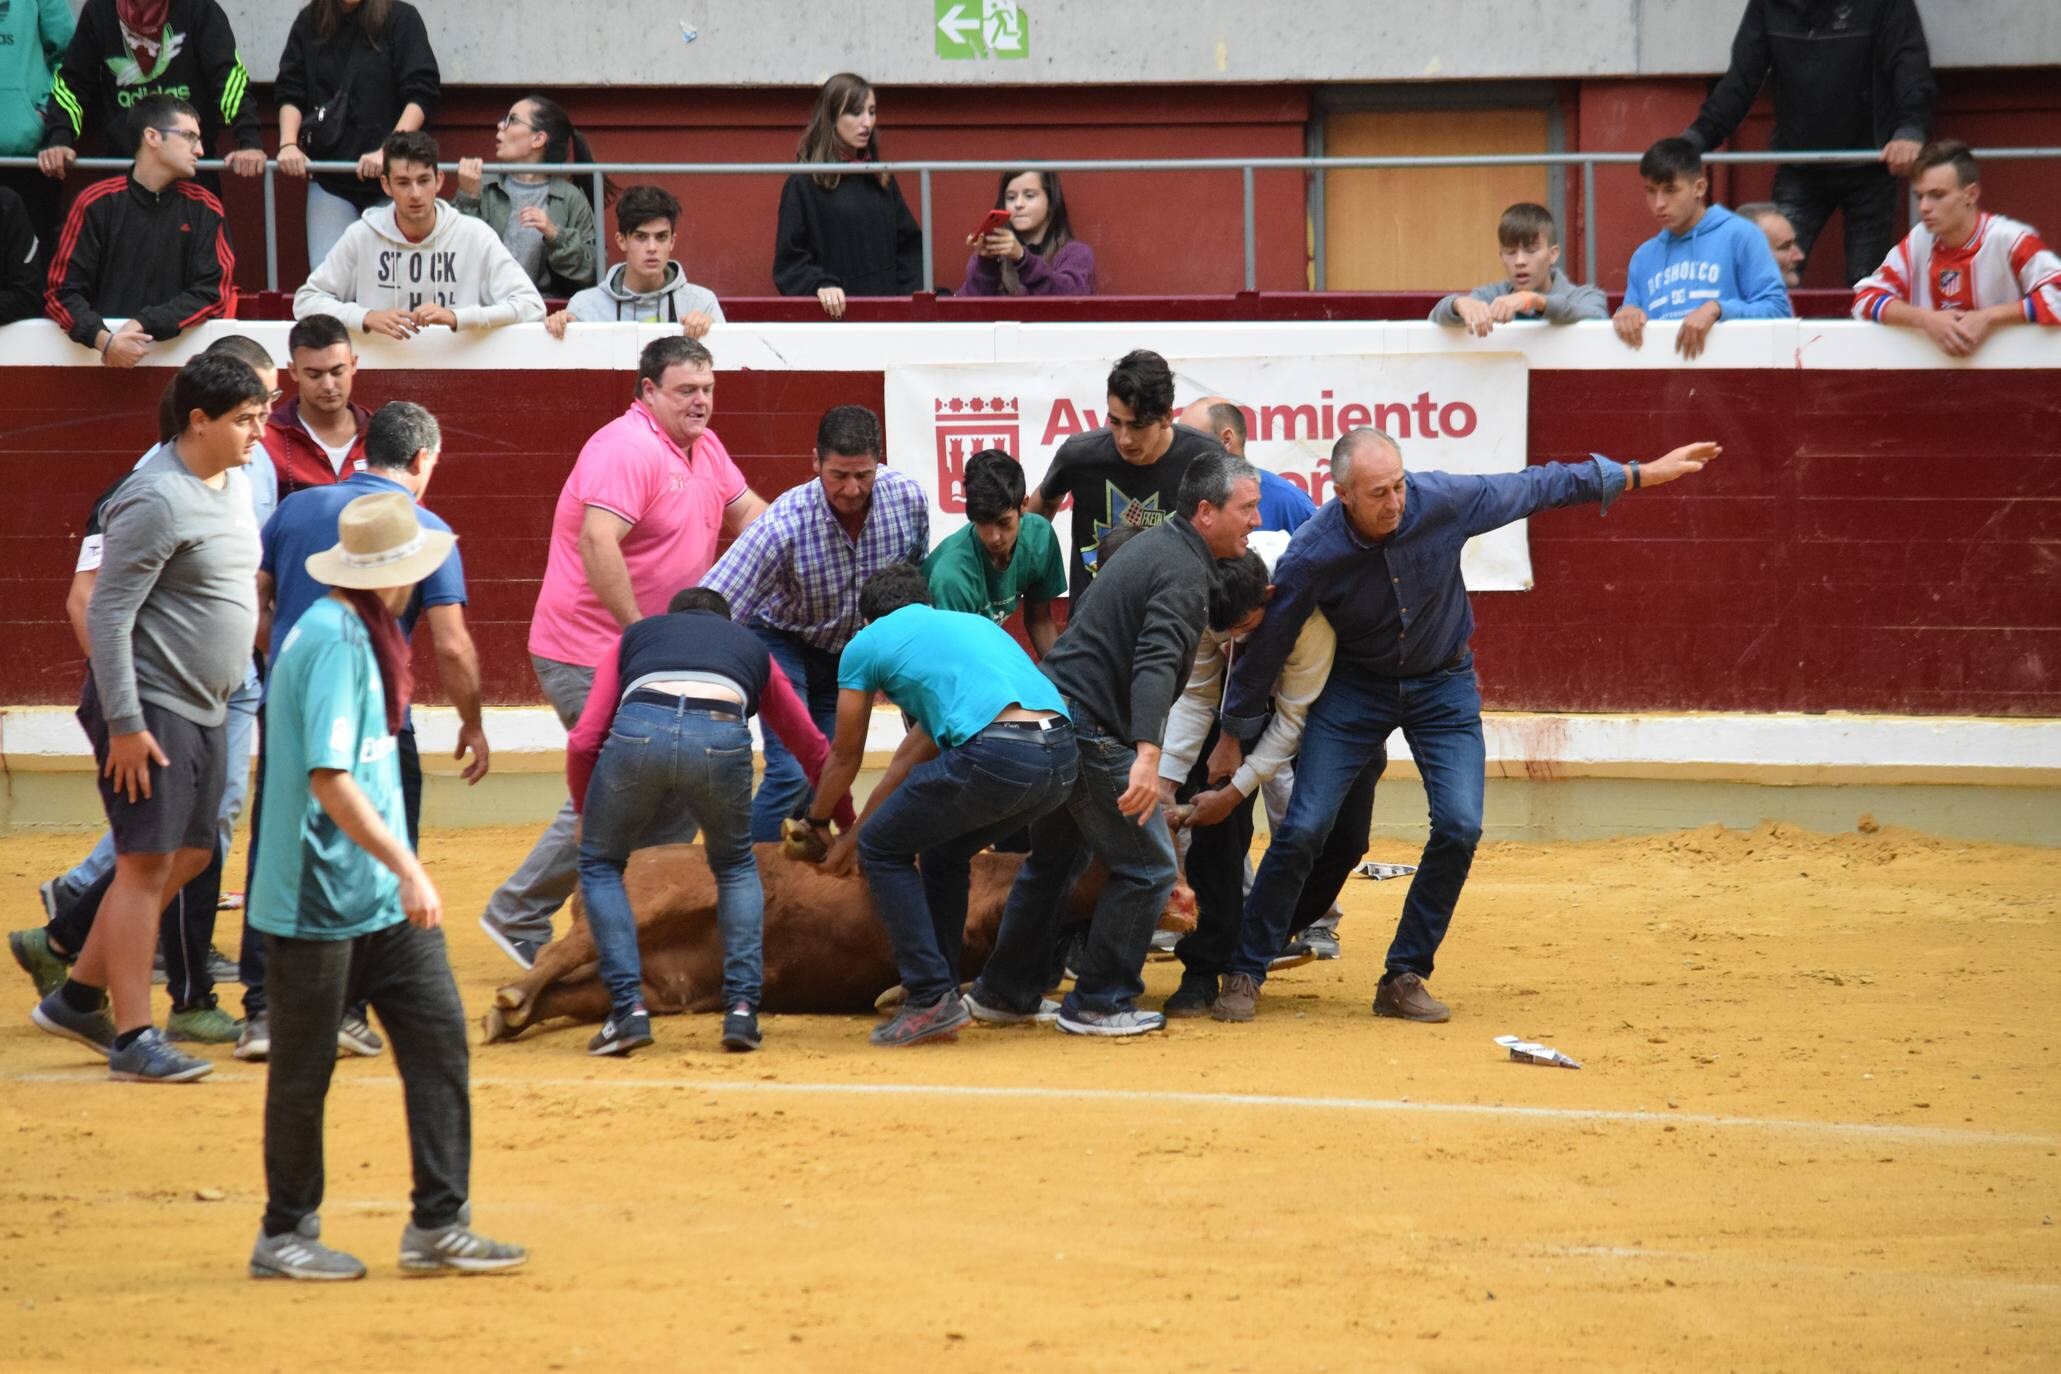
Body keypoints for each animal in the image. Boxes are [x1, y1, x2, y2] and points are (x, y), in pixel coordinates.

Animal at [482, 844, 1195, 1038]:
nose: (1187, 901)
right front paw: (901, 997)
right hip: (661, 895)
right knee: (558, 955)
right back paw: (508, 997)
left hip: (662, 987)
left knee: (574, 990)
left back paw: (509, 1017)